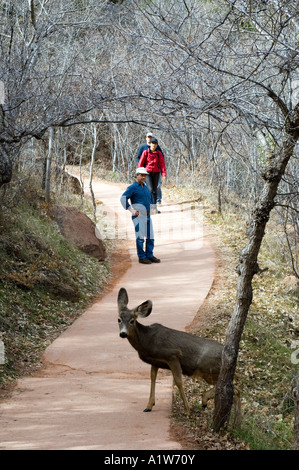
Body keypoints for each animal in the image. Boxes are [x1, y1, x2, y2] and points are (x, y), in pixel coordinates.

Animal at [117, 290, 241, 418]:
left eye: (132, 321)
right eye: (119, 319)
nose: (123, 333)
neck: (147, 340)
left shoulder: (173, 355)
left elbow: (178, 381)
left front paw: (188, 410)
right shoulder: (155, 361)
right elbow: (152, 378)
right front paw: (149, 406)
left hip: (208, 369)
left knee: (235, 384)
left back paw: (206, 401)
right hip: (209, 374)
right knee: (235, 388)